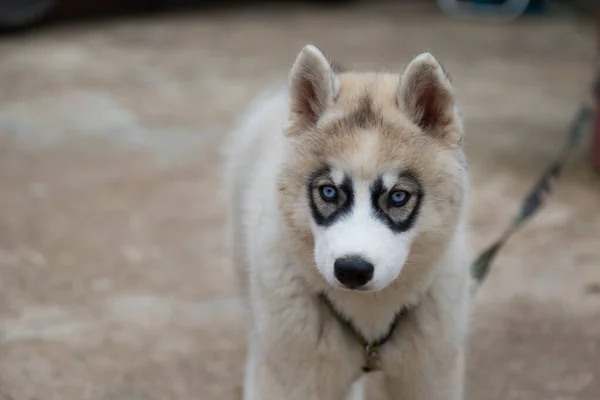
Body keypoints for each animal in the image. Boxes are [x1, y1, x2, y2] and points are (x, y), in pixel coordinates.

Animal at [223, 44, 472, 400]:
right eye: (328, 191)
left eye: (398, 196)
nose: (352, 270)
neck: (368, 313)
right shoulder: (296, 375)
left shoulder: (429, 376)